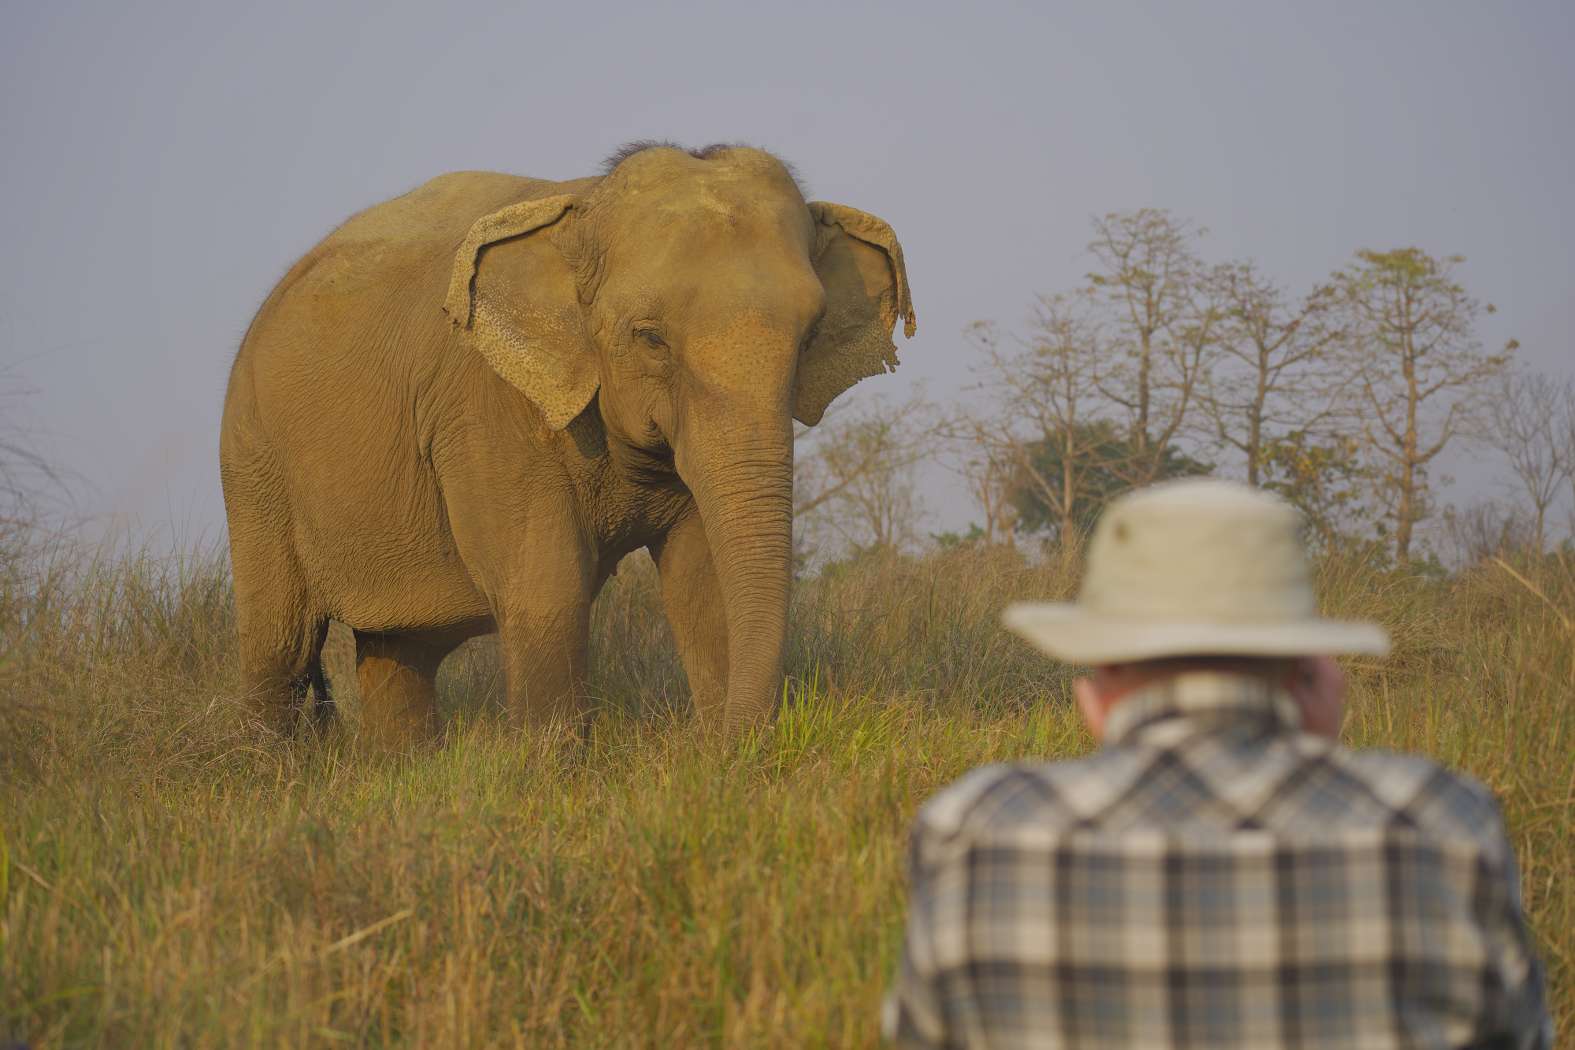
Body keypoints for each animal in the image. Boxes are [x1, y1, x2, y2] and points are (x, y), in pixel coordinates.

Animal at [219, 142, 915, 745]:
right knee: (280, 643)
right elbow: (546, 590)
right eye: (650, 337)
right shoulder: (488, 406)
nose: (724, 746)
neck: (584, 207)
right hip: (253, 462)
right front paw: (552, 774)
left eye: (810, 335)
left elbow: (704, 585)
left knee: (398, 652)